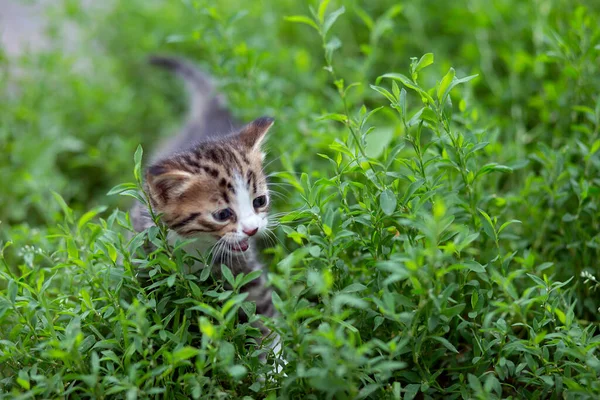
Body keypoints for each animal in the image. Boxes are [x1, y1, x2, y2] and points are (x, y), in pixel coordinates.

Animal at [130, 55, 280, 350]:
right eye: (222, 214)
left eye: (259, 201)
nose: (252, 230)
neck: (196, 246)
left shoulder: (245, 271)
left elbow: (262, 312)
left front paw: (279, 359)